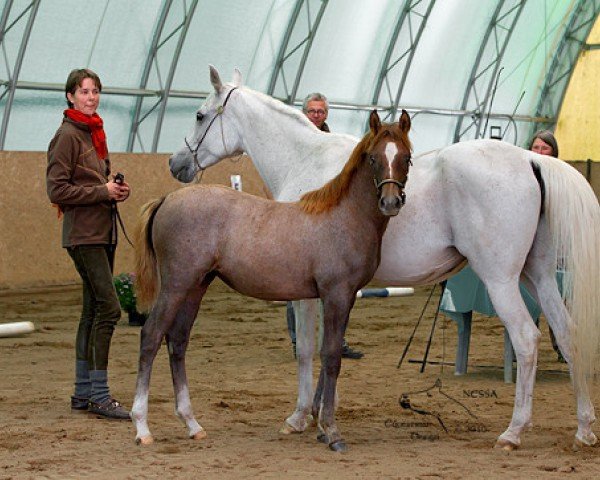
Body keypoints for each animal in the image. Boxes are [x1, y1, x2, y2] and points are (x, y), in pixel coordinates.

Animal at [165, 66, 600, 450]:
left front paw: (301, 418)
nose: (175, 163)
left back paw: (513, 432)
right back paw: (583, 429)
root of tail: (531, 159)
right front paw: (322, 418)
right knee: (567, 333)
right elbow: (327, 348)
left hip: (501, 280)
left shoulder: (306, 292)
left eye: (200, 114)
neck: (306, 161)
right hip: (537, 275)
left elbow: (307, 349)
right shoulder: (333, 289)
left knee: (526, 339)